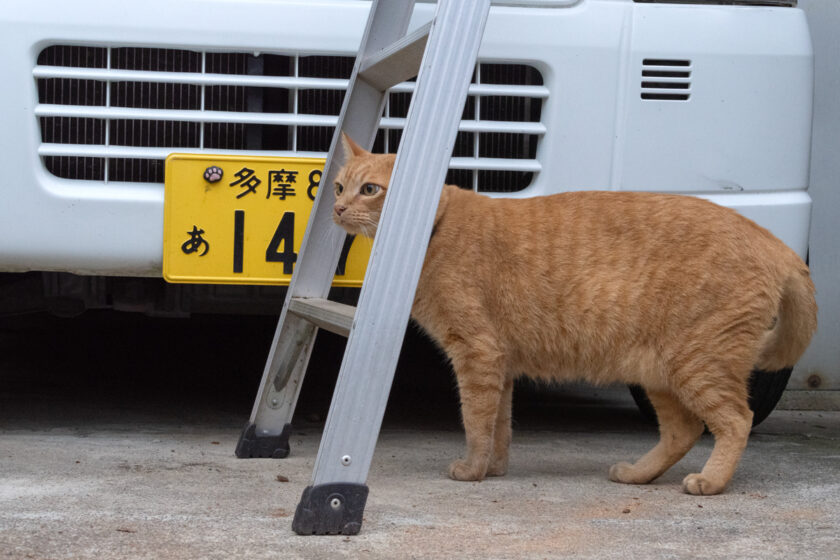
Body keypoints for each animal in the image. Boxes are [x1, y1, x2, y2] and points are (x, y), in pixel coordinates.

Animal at [334, 135, 812, 494]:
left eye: (370, 190)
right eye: (339, 187)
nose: (336, 208)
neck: (431, 231)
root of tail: (773, 241)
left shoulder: (476, 353)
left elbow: (475, 418)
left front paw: (472, 470)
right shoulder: (499, 363)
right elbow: (499, 424)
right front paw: (493, 468)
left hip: (697, 363)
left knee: (735, 420)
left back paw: (710, 482)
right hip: (659, 371)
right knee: (684, 431)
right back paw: (637, 474)